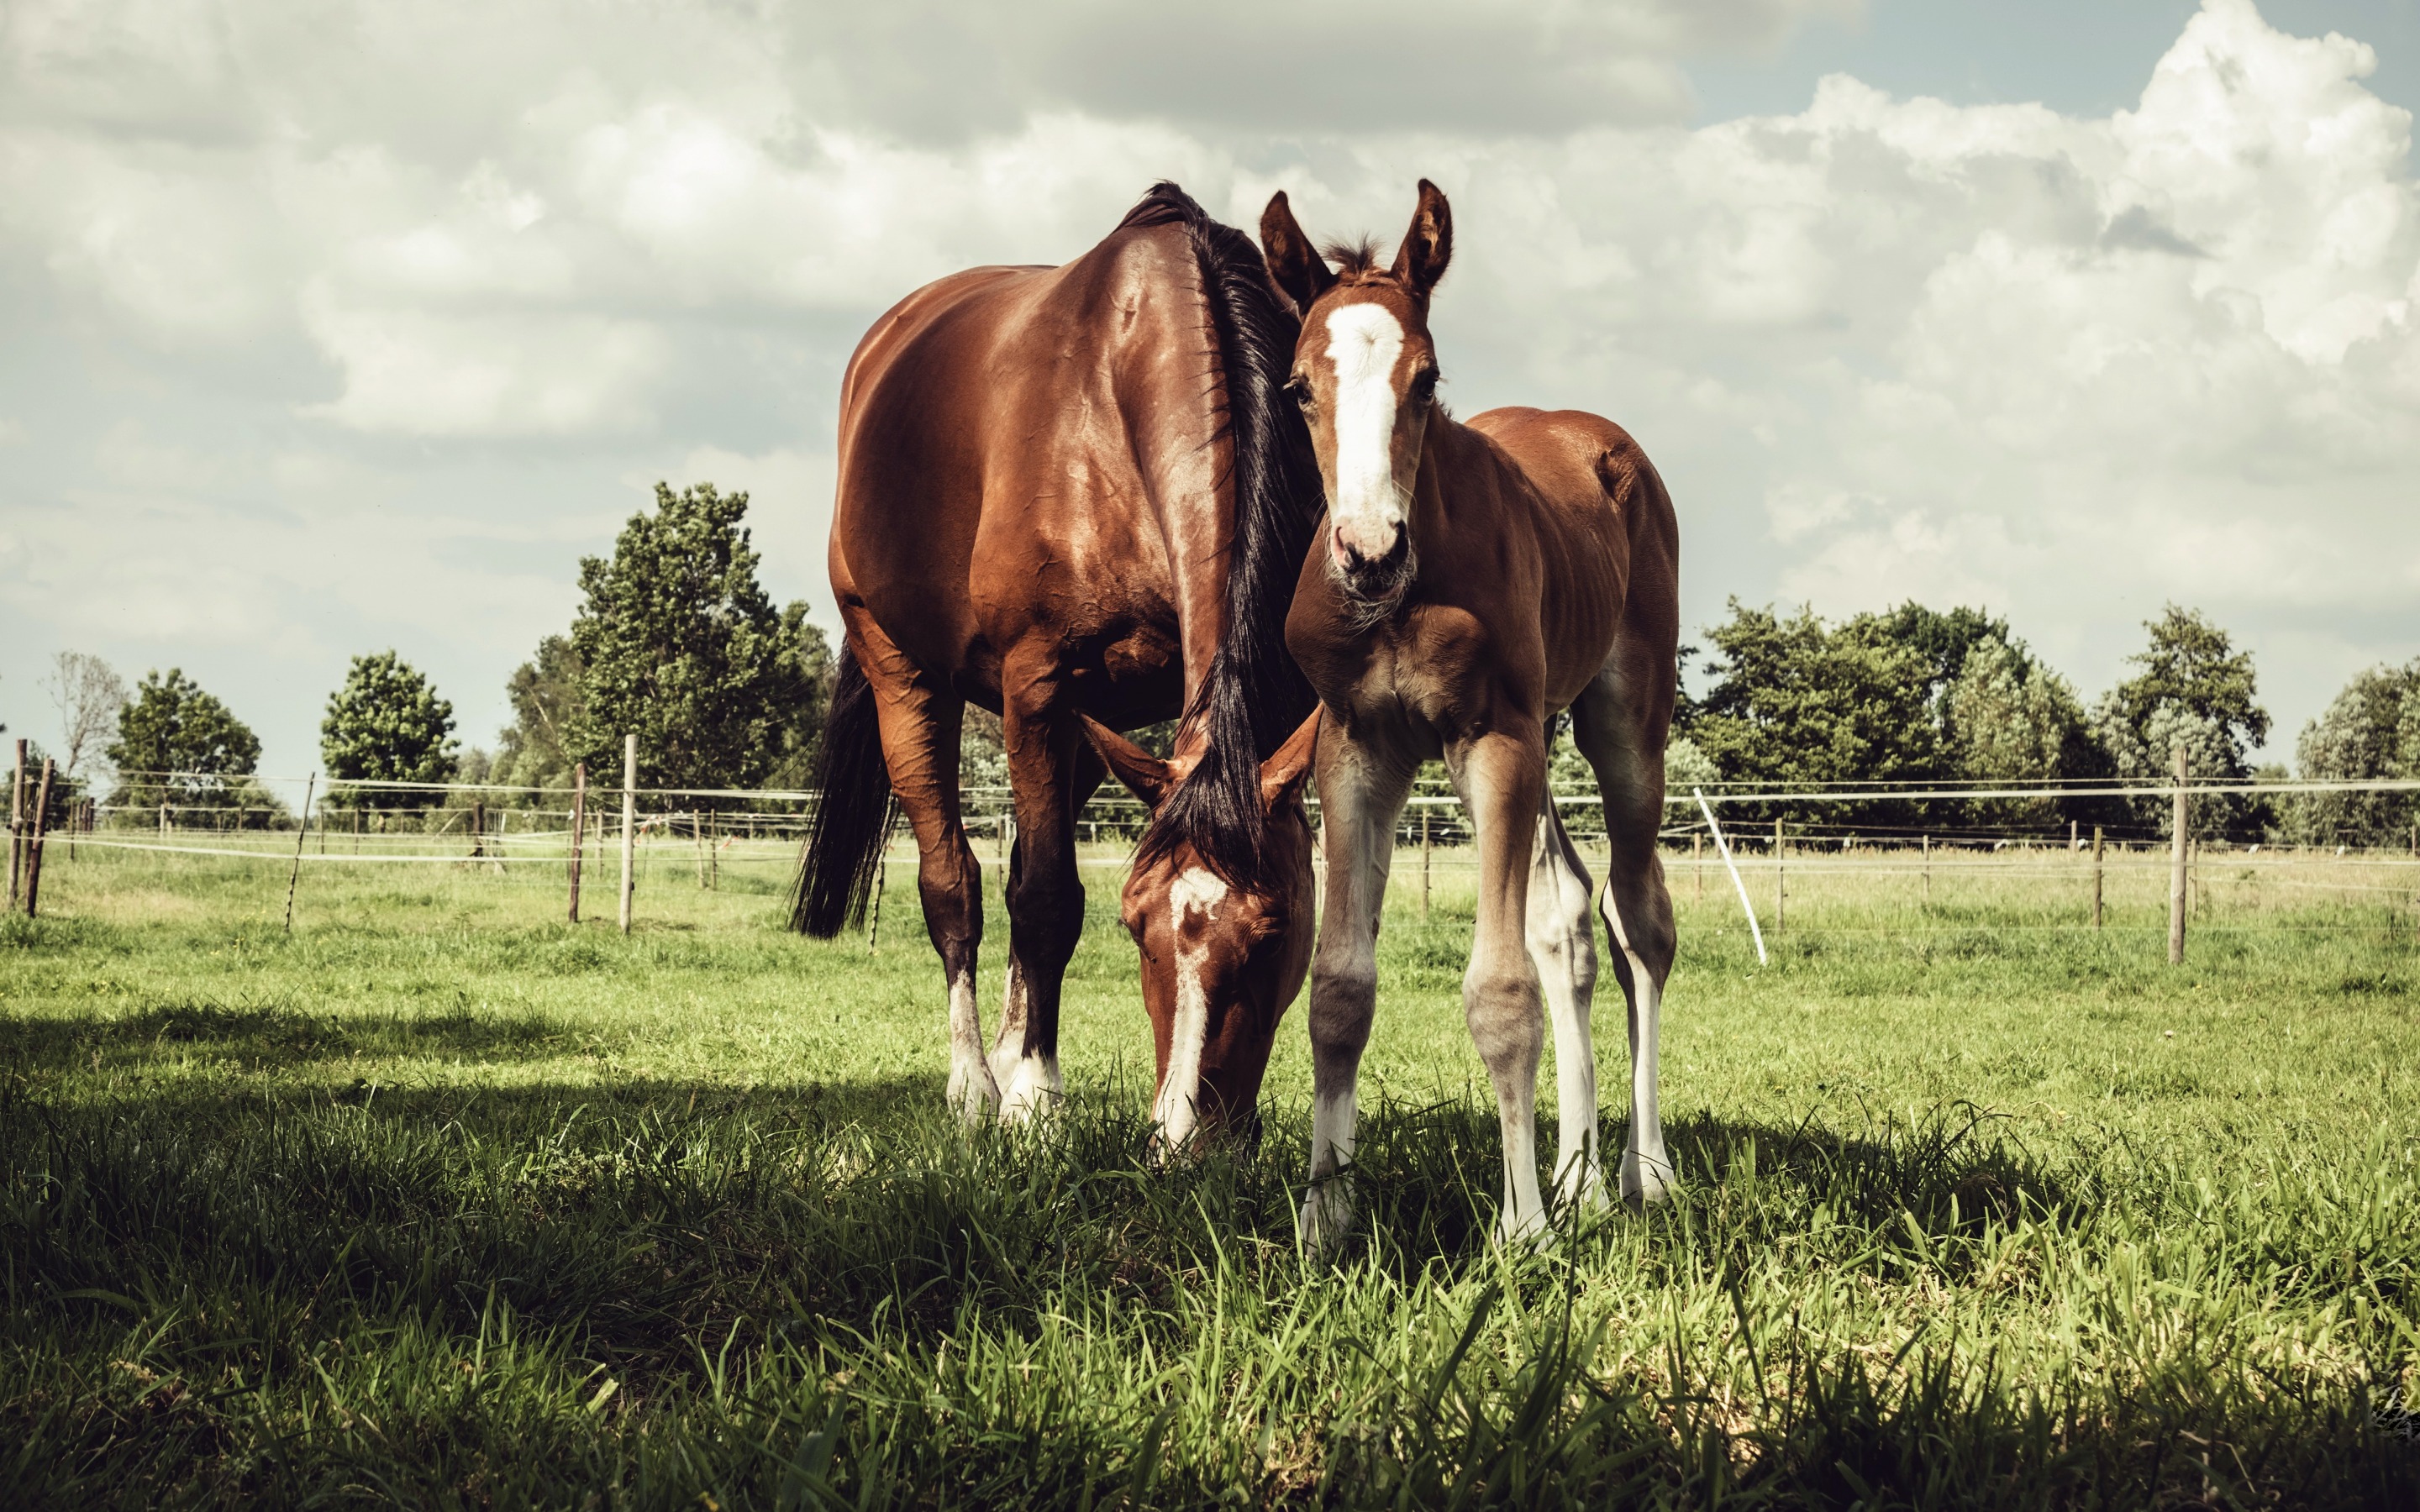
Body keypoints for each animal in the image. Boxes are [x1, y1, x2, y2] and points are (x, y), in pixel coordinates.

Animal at [793, 182, 1326, 1142]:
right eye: (1137, 928)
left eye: (1273, 933)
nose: (1186, 1136)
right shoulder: (1036, 684)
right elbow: (1046, 897)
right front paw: (1034, 1103)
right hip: (906, 678)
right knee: (956, 884)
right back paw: (976, 1084)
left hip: (1096, 728)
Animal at [1268, 182, 1684, 1248]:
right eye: (1299, 389)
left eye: (1426, 379)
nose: (1368, 549)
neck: (1403, 598)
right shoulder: (1356, 750)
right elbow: (1338, 989)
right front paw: (1322, 1215)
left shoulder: (1493, 738)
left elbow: (1499, 991)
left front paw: (1524, 1228)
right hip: (1537, 739)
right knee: (1568, 917)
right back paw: (1580, 1179)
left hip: (1620, 723)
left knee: (1639, 922)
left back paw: (1642, 1173)